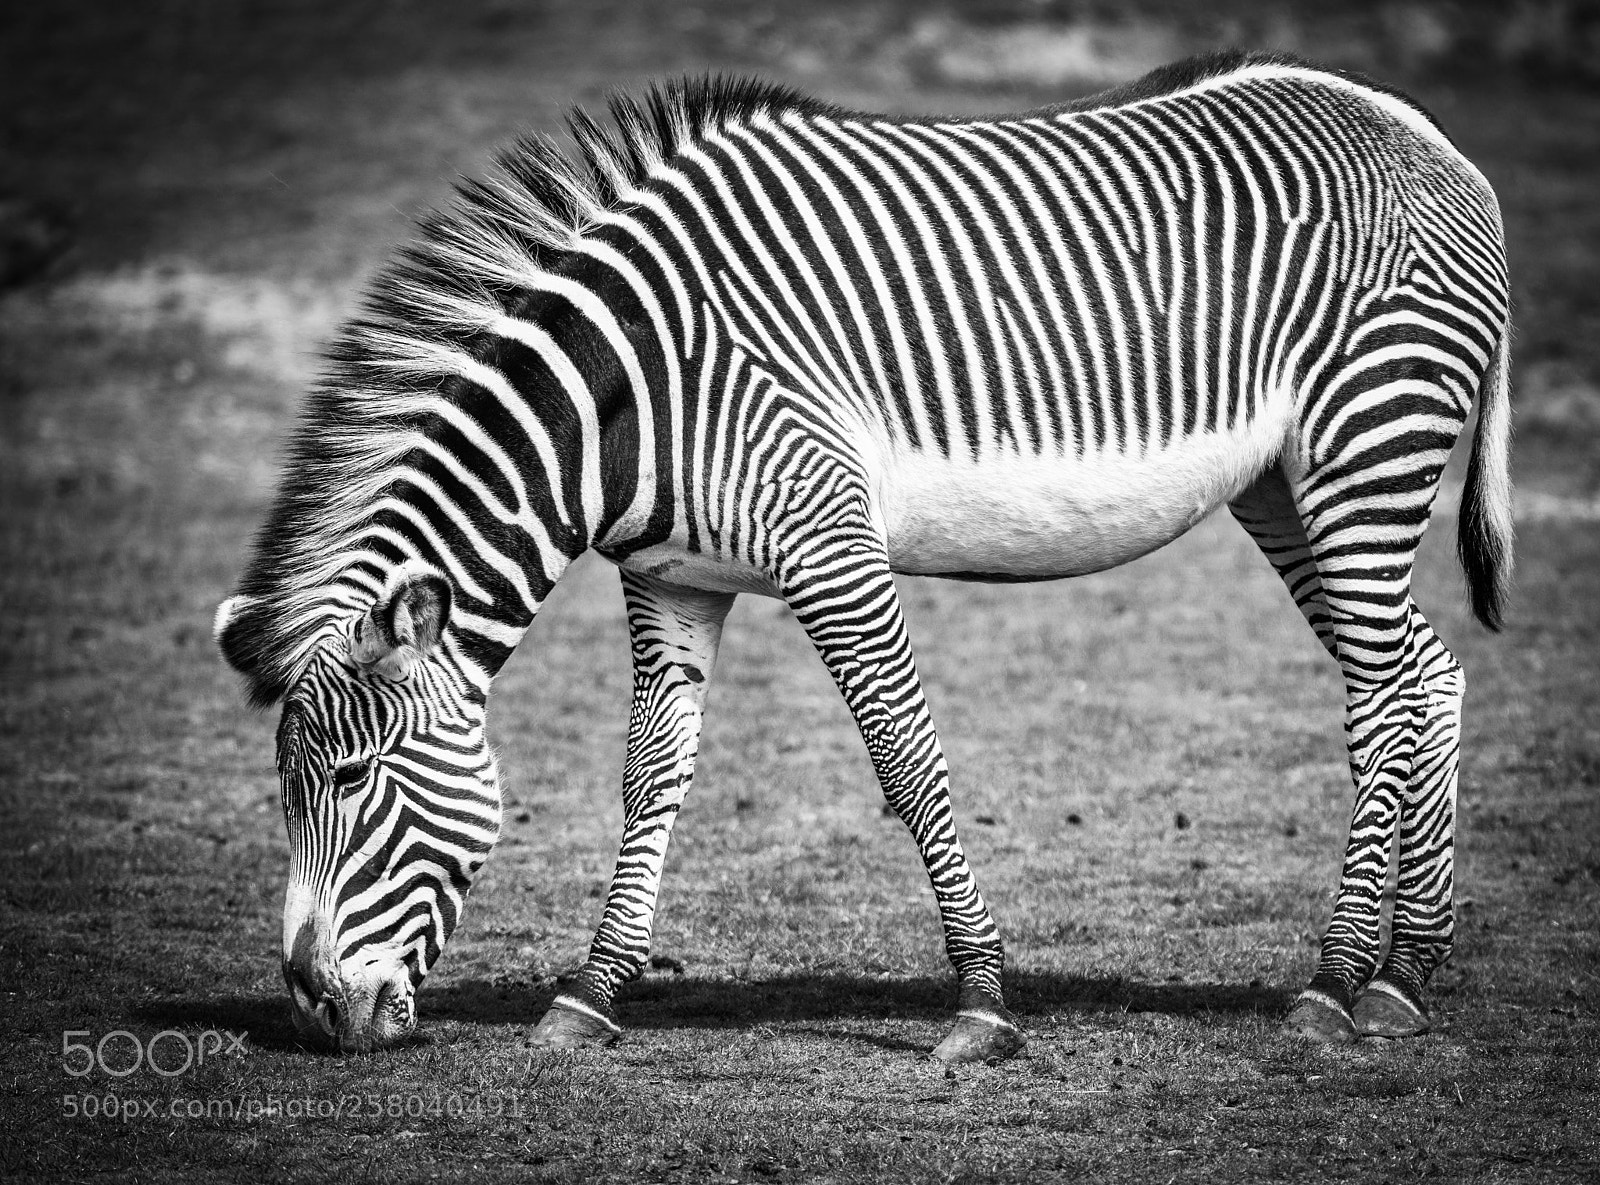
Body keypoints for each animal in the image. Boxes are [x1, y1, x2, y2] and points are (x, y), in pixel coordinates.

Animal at [214, 49, 1512, 1060]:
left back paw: (1333, 983)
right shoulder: (673, 576)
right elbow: (651, 775)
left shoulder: (829, 550)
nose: (317, 1014)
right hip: (1286, 486)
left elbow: (908, 761)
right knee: (1428, 677)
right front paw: (590, 995)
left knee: (1385, 703)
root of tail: (1425, 134)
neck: (633, 392)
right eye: (283, 791)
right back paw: (1406, 975)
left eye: (352, 781)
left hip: (1365, 445)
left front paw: (981, 1005)